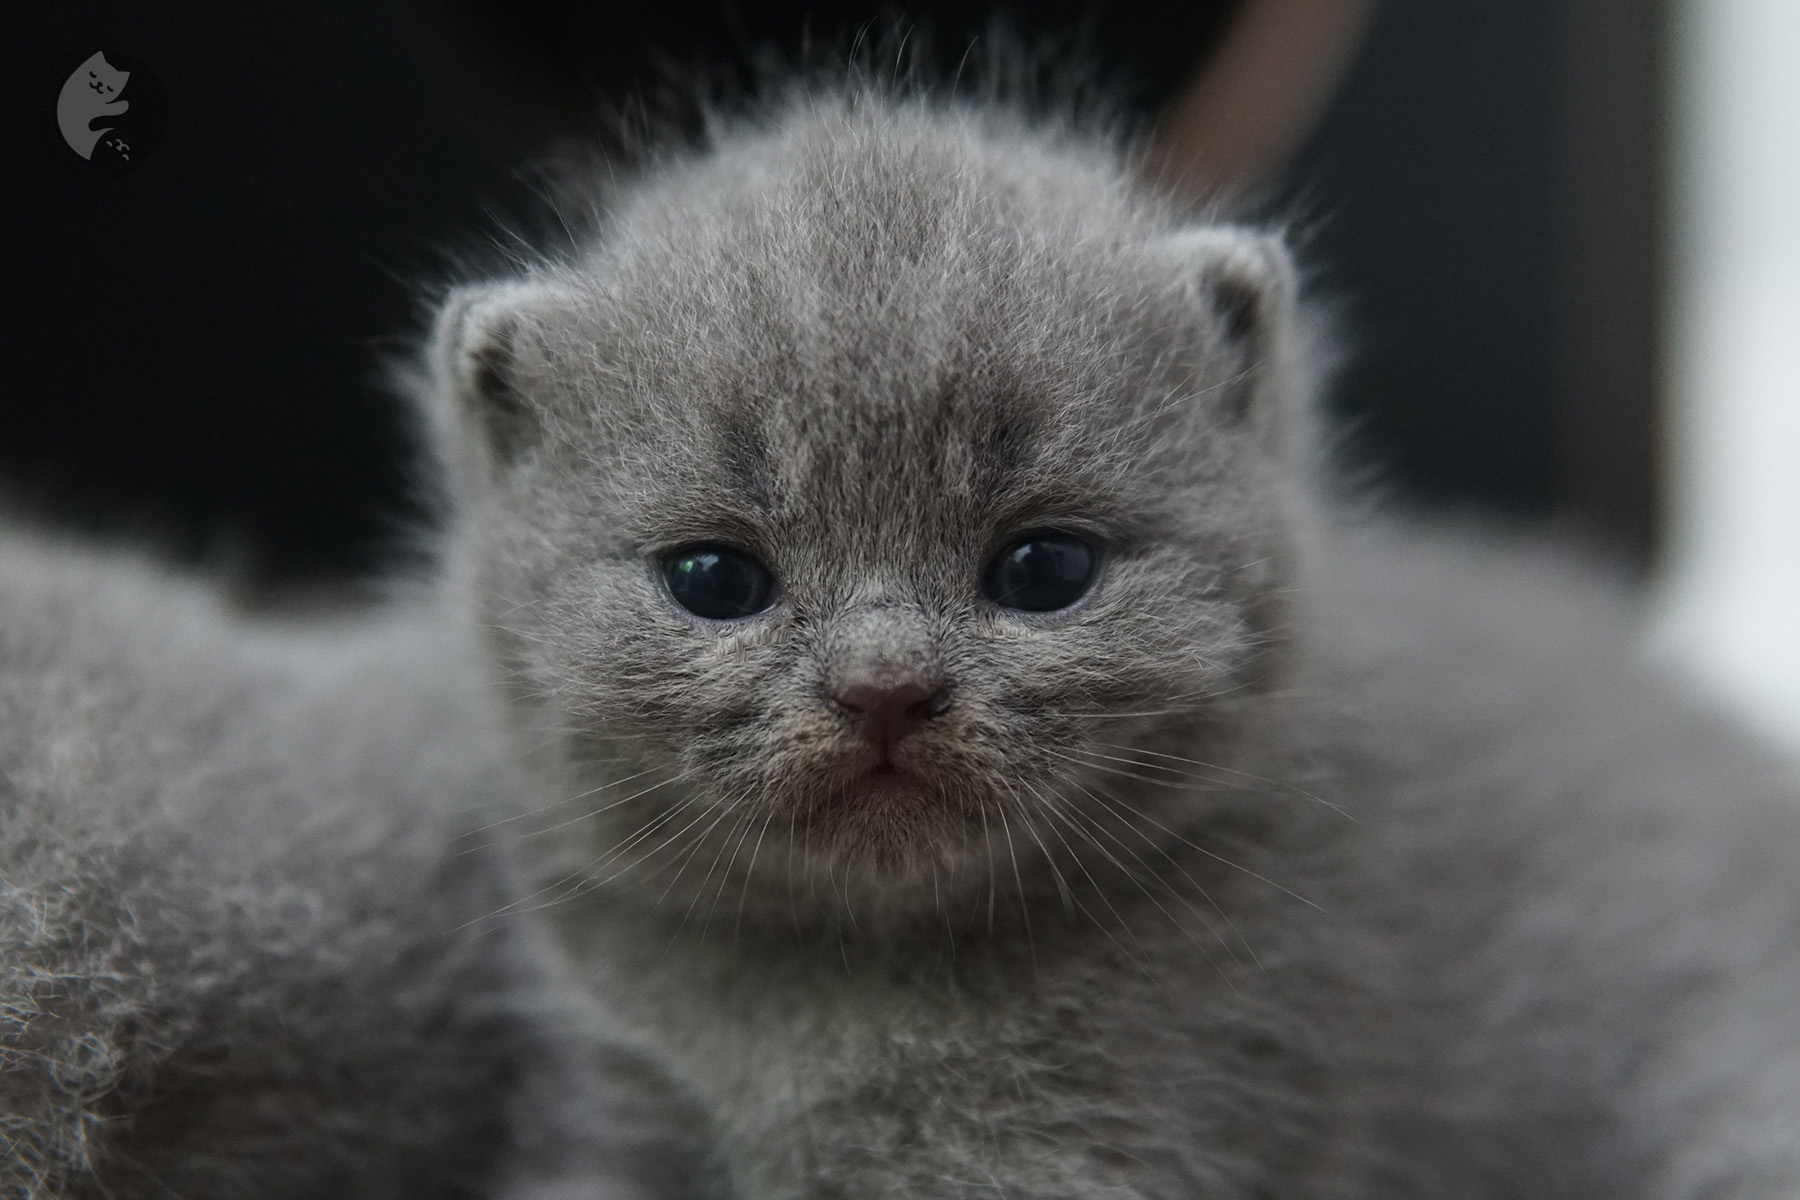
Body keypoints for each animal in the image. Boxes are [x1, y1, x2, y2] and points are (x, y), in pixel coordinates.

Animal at [417, 84, 1800, 1200]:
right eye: (714, 579)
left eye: (1044, 570)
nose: (883, 686)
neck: (827, 1003)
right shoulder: (616, 1095)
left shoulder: (1077, 1142)